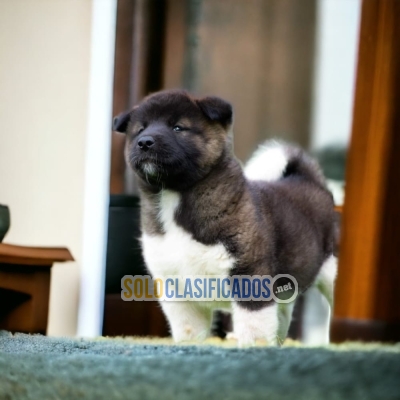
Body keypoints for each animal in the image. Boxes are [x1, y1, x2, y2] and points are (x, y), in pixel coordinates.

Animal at [113, 89, 338, 346]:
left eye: (178, 128)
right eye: (140, 129)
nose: (144, 142)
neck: (174, 194)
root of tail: (309, 180)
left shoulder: (250, 273)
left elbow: (253, 326)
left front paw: (251, 347)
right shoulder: (176, 288)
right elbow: (188, 331)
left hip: (330, 274)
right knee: (283, 317)